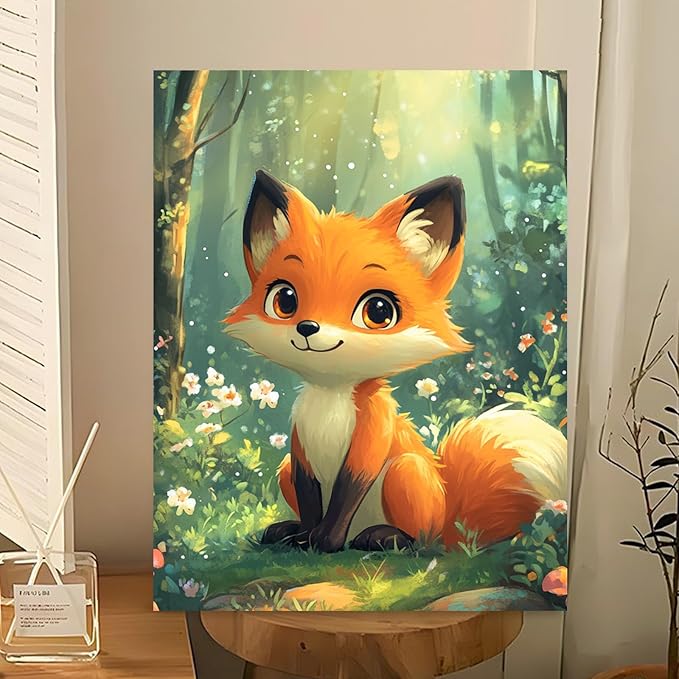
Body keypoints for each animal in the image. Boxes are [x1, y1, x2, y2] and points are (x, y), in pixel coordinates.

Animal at [225, 169, 567, 554]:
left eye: (378, 311)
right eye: (285, 300)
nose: (307, 328)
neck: (330, 403)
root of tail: (450, 522)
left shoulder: (372, 434)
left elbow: (347, 492)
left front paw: (325, 542)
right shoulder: (300, 452)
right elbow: (311, 498)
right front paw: (303, 538)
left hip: (406, 471)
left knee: (420, 539)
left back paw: (383, 537)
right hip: (285, 469)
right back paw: (289, 529)